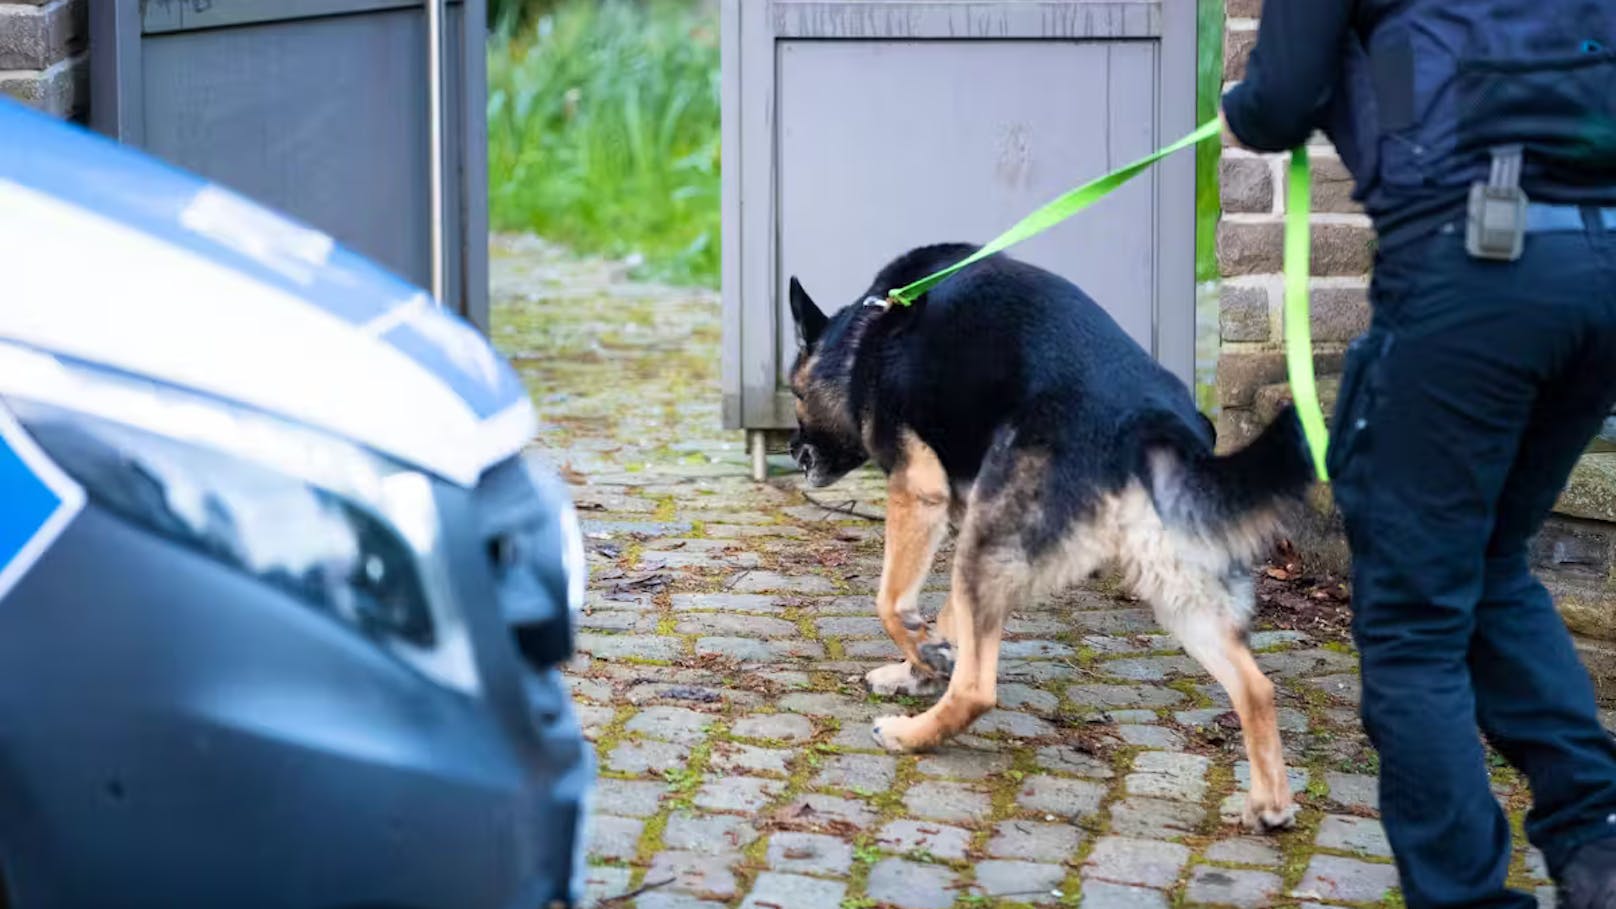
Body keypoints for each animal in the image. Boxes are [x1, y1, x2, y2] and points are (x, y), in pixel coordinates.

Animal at [788, 240, 1318, 828]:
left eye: (794, 393)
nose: (792, 453)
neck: (865, 332)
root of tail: (1146, 425)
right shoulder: (972, 522)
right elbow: (949, 620)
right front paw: (923, 664)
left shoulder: (920, 492)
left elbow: (890, 602)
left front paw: (923, 656)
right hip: (1172, 593)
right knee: (1257, 687)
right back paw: (1270, 804)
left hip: (990, 551)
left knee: (978, 690)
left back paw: (911, 736)